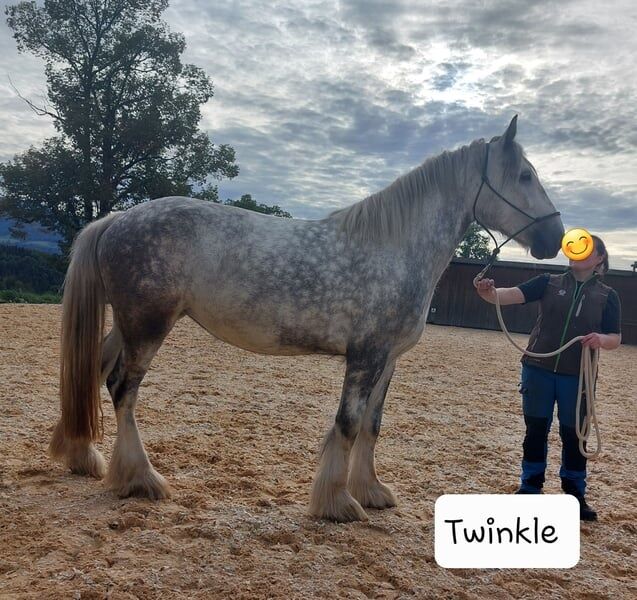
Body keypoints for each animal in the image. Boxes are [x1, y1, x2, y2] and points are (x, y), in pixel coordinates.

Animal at [52, 116, 564, 520]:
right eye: (523, 175)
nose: (555, 237)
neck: (395, 248)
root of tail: (117, 220)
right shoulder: (365, 357)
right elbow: (348, 424)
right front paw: (337, 503)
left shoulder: (388, 360)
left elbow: (372, 426)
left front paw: (370, 491)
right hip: (148, 326)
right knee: (122, 389)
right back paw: (141, 479)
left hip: (126, 325)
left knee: (93, 372)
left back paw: (82, 457)